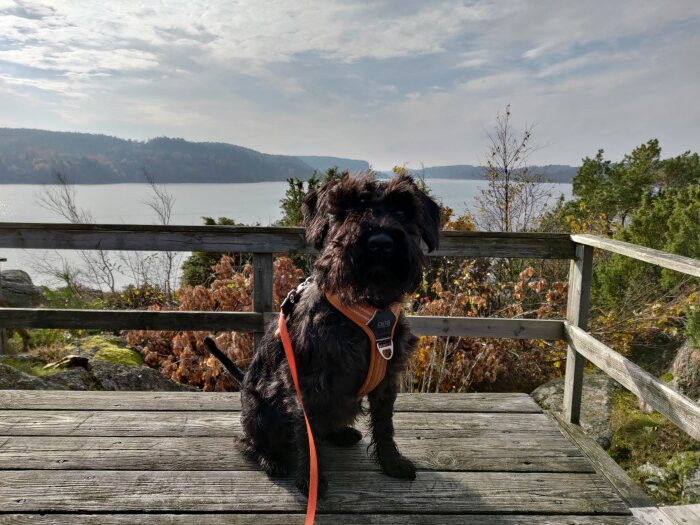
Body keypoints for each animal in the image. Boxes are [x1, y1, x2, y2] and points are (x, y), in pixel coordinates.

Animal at [227, 173, 438, 496]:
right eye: (348, 207)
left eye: (403, 210)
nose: (380, 243)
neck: (368, 305)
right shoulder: (308, 384)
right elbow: (307, 437)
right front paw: (310, 480)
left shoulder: (387, 380)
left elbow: (384, 425)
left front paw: (392, 463)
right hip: (259, 412)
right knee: (248, 442)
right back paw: (271, 459)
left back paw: (341, 434)